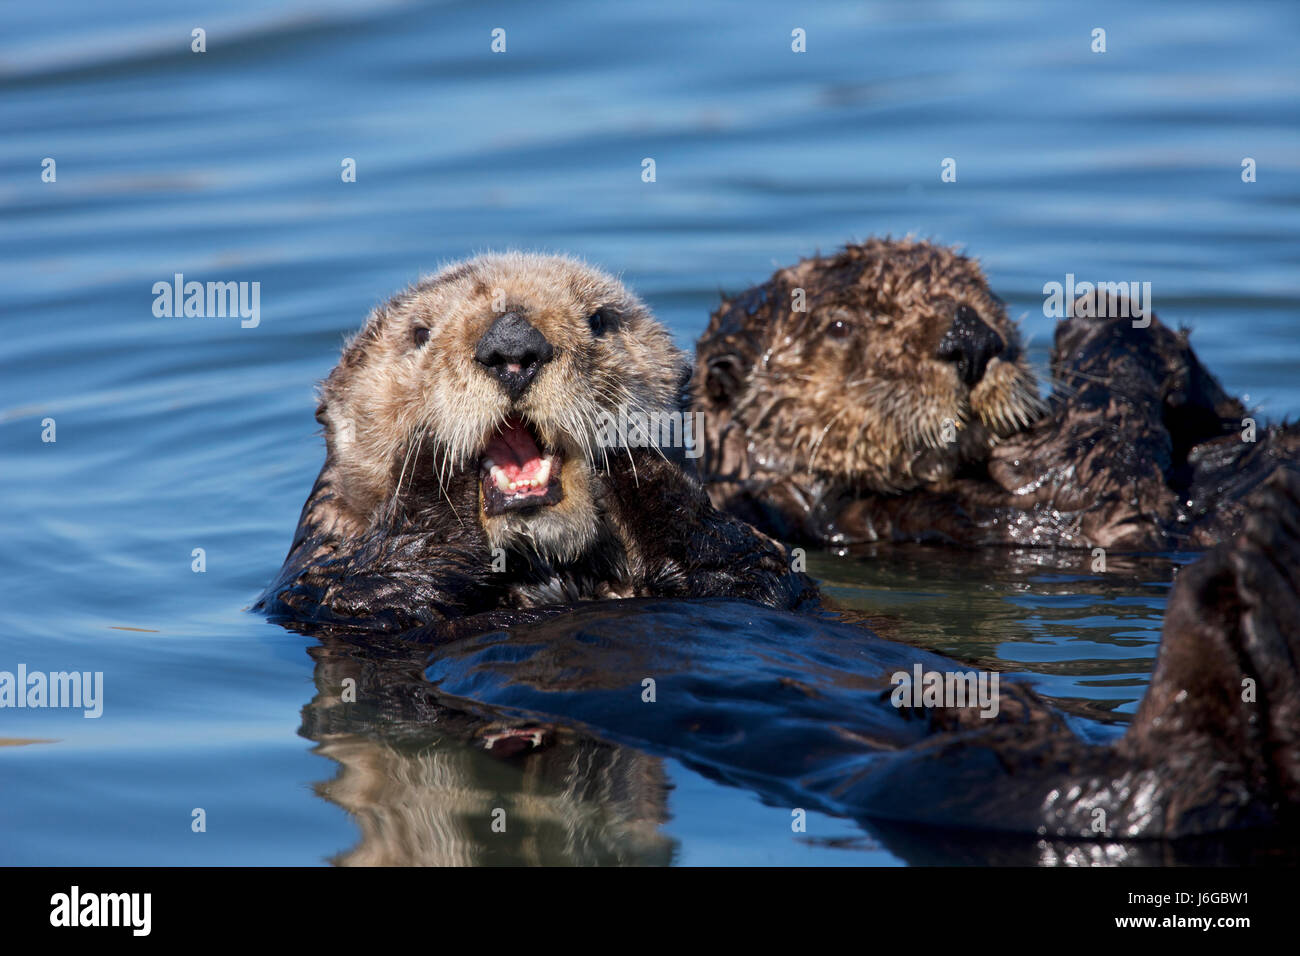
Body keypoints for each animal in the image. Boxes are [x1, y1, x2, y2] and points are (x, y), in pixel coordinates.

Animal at [256, 251, 811, 632]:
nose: (512, 345)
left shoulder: (759, 578)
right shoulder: (316, 589)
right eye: (419, 333)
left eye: (600, 319)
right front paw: (431, 459)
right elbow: (365, 591)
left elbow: (754, 569)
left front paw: (632, 451)